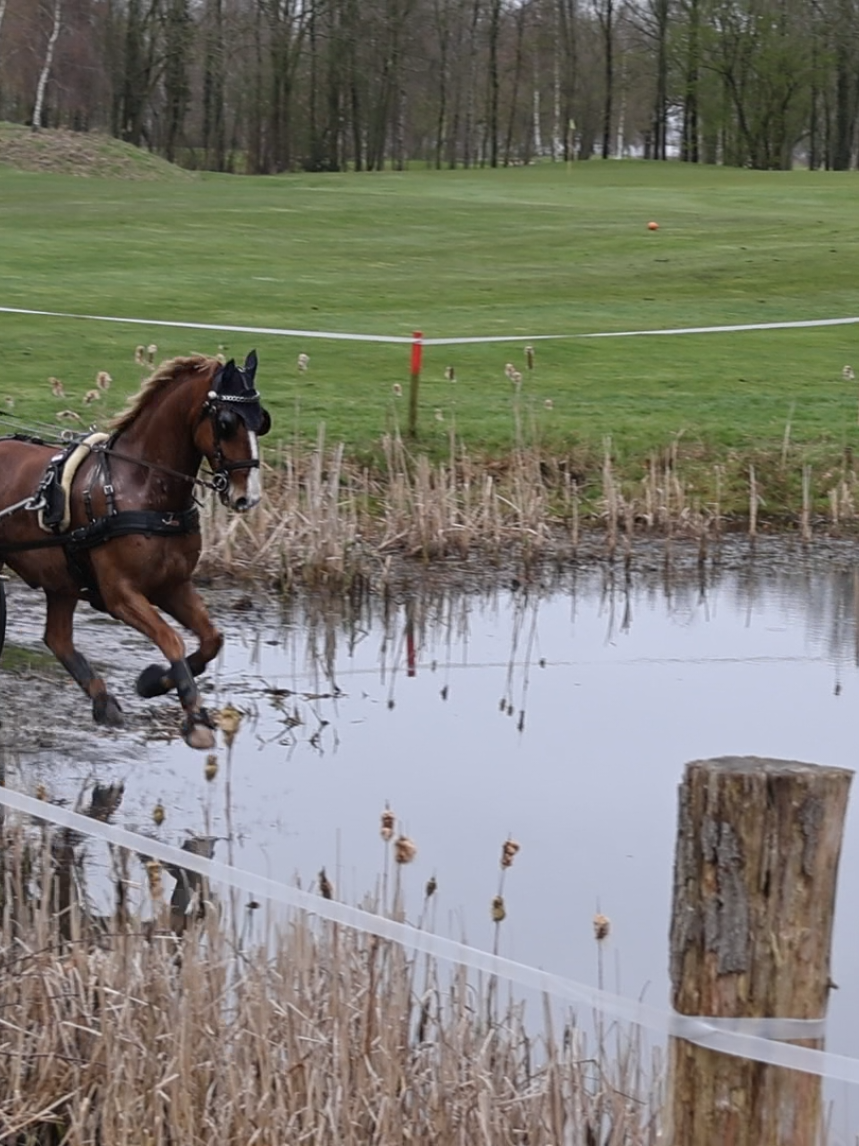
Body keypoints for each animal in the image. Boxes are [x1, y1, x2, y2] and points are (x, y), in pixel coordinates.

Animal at [0, 350, 270, 749]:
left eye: (261, 420)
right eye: (225, 422)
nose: (246, 497)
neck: (141, 489)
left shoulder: (172, 585)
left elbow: (211, 640)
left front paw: (154, 681)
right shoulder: (121, 595)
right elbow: (171, 639)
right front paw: (195, 719)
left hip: (62, 580)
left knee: (57, 639)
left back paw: (102, 700)